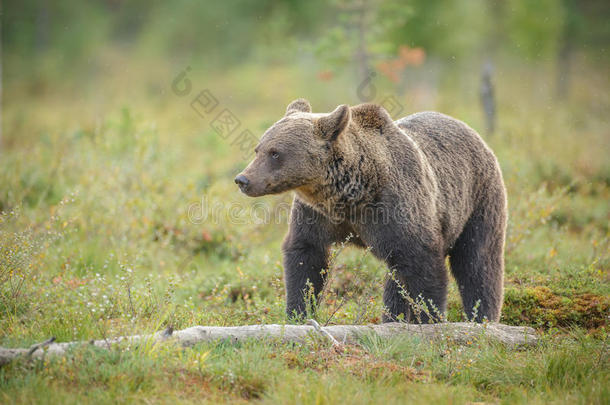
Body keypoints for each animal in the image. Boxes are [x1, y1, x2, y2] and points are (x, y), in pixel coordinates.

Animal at [233, 99, 504, 324]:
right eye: (259, 149)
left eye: (275, 153)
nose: (243, 179)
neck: (350, 194)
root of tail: (471, 131)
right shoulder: (315, 214)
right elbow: (305, 256)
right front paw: (298, 313)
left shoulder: (397, 208)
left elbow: (422, 263)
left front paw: (429, 318)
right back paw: (392, 319)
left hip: (479, 199)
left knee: (478, 262)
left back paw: (483, 318)